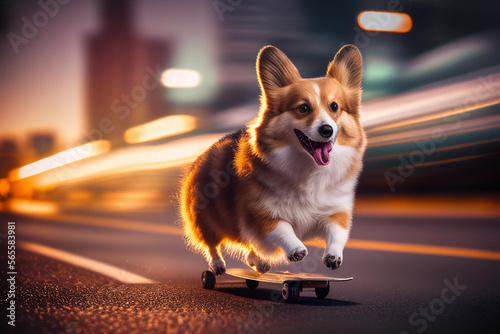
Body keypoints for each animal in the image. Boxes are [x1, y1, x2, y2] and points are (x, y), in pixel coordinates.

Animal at [181, 44, 368, 274]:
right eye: (303, 108)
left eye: (334, 106)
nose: (327, 130)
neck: (308, 171)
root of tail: (205, 152)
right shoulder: (260, 213)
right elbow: (282, 228)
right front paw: (297, 249)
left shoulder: (336, 209)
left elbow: (337, 233)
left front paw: (333, 256)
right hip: (207, 220)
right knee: (212, 244)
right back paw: (218, 265)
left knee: (249, 246)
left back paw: (258, 261)